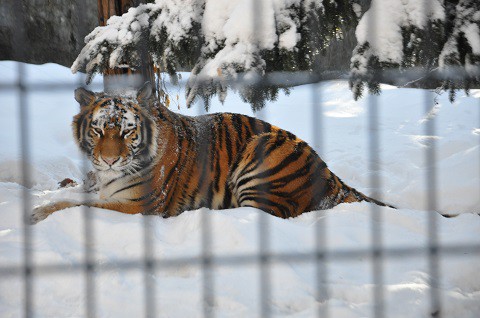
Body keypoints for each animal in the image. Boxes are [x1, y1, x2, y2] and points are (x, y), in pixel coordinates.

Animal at [30, 84, 392, 224]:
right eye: (97, 130)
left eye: (128, 132)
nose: (108, 160)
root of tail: (332, 177)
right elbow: (73, 193)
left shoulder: (137, 205)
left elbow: (75, 204)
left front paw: (36, 214)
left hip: (261, 153)